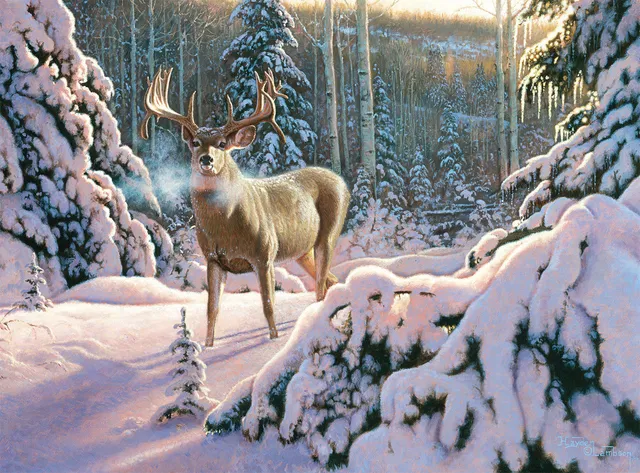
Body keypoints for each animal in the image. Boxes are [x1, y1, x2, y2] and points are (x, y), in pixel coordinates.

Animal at [140, 68, 350, 347]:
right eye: (195, 142)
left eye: (221, 144)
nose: (206, 159)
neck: (227, 227)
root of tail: (341, 181)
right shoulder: (213, 259)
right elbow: (212, 309)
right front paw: (209, 346)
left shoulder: (264, 254)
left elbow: (268, 304)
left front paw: (273, 339)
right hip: (302, 250)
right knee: (330, 280)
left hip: (328, 234)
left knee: (320, 284)